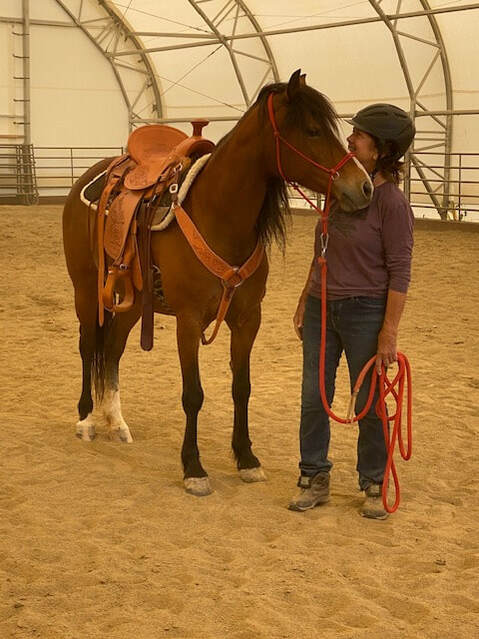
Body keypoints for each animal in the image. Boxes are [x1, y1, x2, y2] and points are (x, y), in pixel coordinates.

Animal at [62, 72, 372, 498]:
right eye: (312, 130)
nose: (365, 186)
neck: (218, 215)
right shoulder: (189, 321)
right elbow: (193, 395)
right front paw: (193, 467)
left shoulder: (247, 319)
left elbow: (242, 387)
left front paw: (247, 458)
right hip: (86, 291)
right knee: (88, 345)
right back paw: (87, 420)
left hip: (132, 302)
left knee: (112, 349)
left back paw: (116, 421)